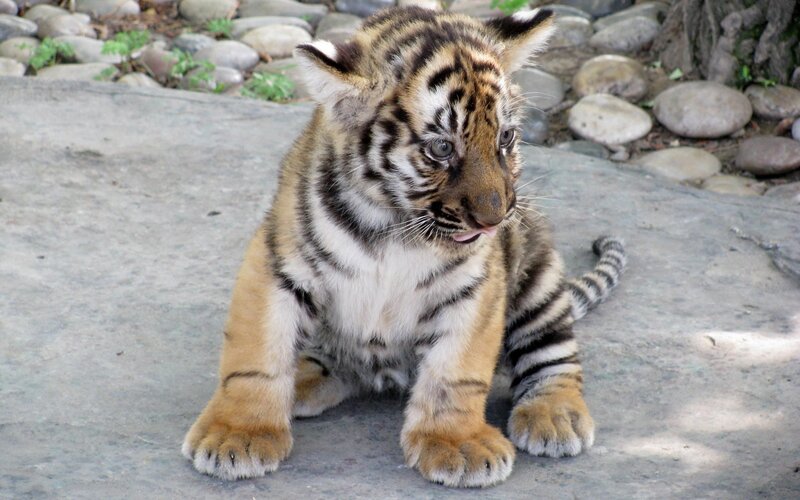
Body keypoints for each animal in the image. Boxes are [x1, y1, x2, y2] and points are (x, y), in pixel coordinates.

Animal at [181, 6, 627, 488]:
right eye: (441, 148)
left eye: (505, 138)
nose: (495, 219)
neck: (396, 226)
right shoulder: (278, 263)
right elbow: (255, 357)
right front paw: (238, 434)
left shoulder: (475, 286)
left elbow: (456, 371)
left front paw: (458, 444)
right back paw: (300, 379)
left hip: (539, 277)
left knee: (555, 356)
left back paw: (555, 416)